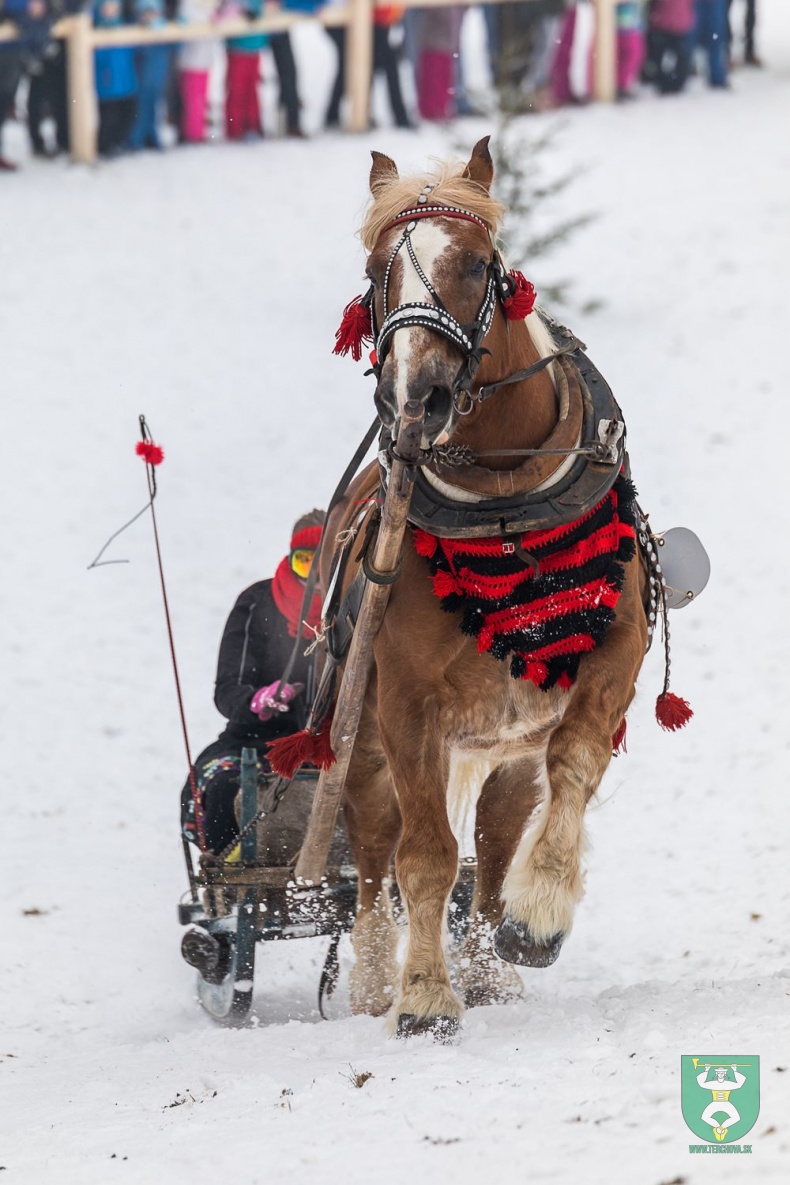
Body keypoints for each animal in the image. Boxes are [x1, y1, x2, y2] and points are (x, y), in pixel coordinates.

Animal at [317, 134, 653, 1033]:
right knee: (373, 854)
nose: (417, 395)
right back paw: (374, 978)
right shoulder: (404, 704)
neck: (506, 507)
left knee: (497, 841)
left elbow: (574, 763)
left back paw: (489, 964)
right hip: (361, 739)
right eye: (375, 269)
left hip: (505, 746)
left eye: (476, 263)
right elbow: (425, 856)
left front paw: (537, 916)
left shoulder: (615, 650)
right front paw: (424, 994)